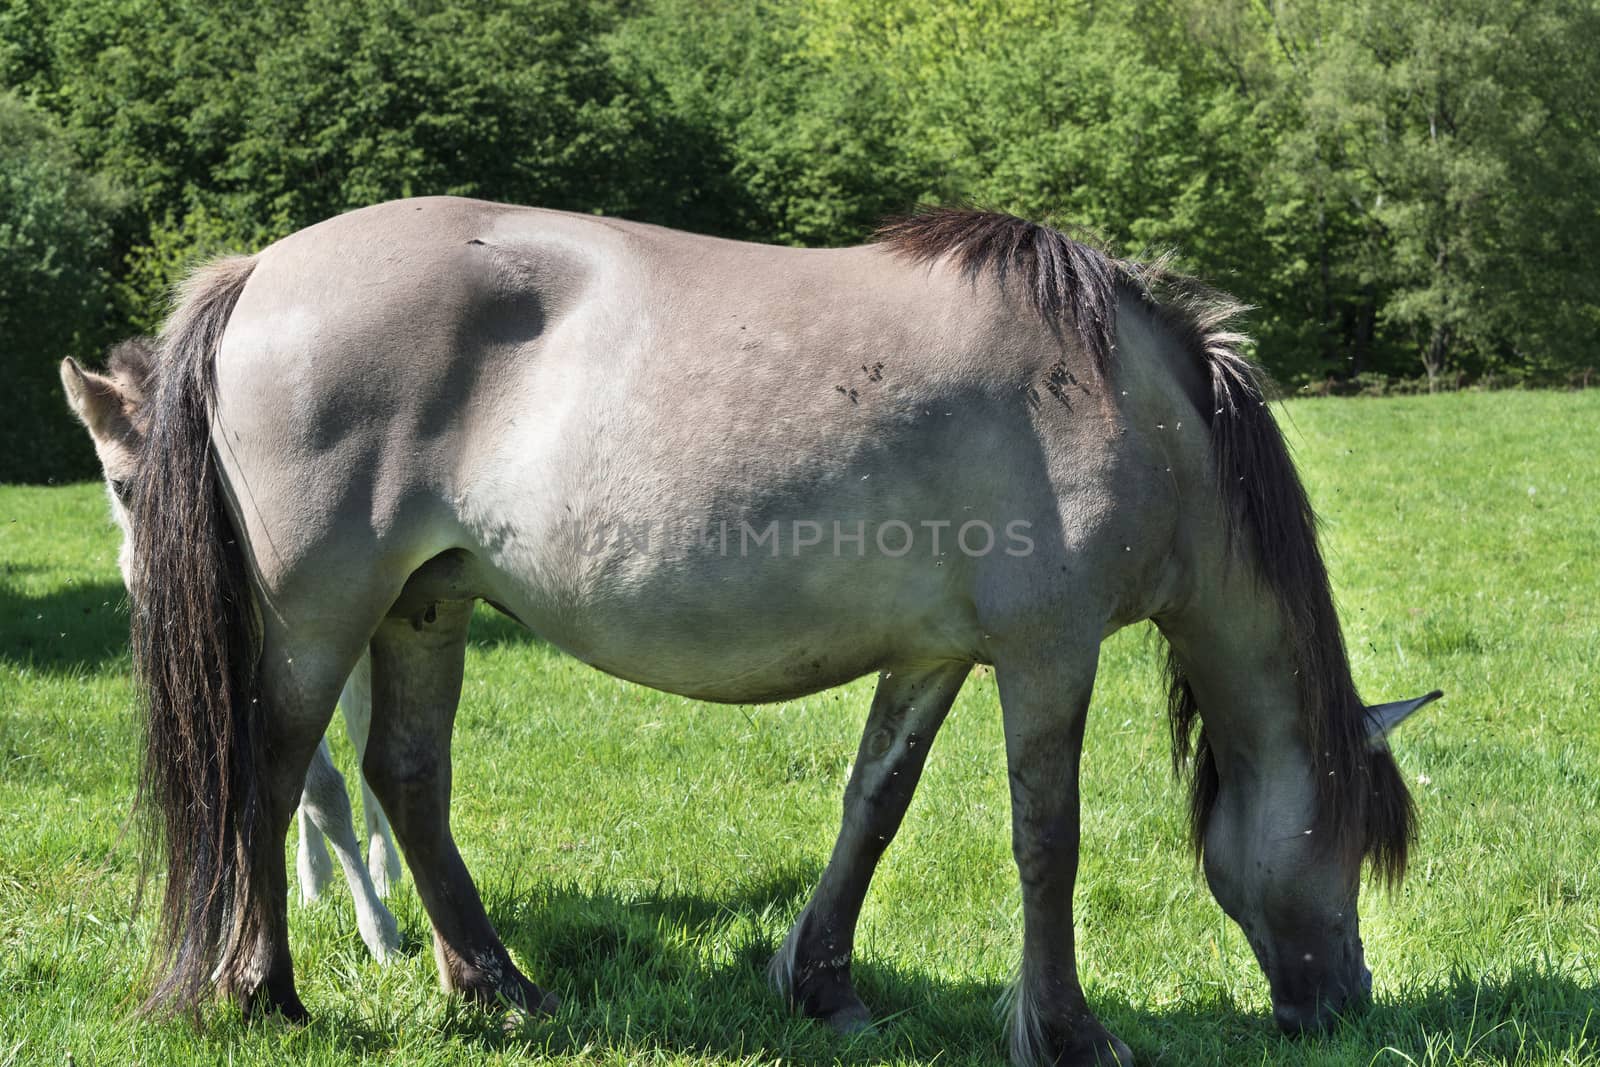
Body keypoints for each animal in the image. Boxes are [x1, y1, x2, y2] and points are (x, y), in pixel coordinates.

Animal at [64, 337, 400, 953]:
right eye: (120, 486)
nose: (158, 588)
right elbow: (299, 785)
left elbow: (332, 782)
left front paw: (381, 933)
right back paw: (313, 881)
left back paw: (385, 871)